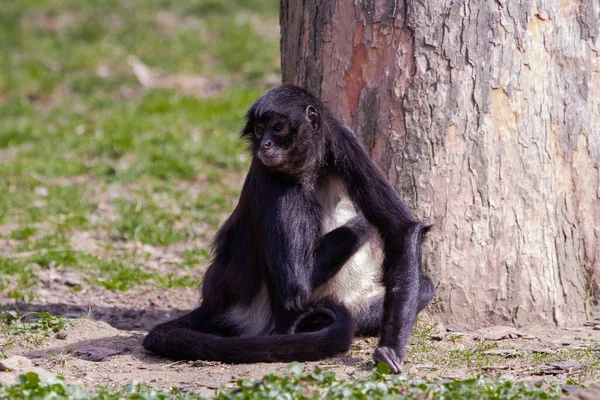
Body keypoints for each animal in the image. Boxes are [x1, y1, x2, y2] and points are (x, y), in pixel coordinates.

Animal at [143, 84, 434, 372]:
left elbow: (401, 230)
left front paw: (391, 348)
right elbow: (296, 287)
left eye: (278, 127)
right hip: (258, 312)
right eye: (259, 130)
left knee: (426, 287)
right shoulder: (270, 175)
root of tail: (216, 303)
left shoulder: (342, 142)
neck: (309, 169)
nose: (266, 144)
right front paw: (363, 222)